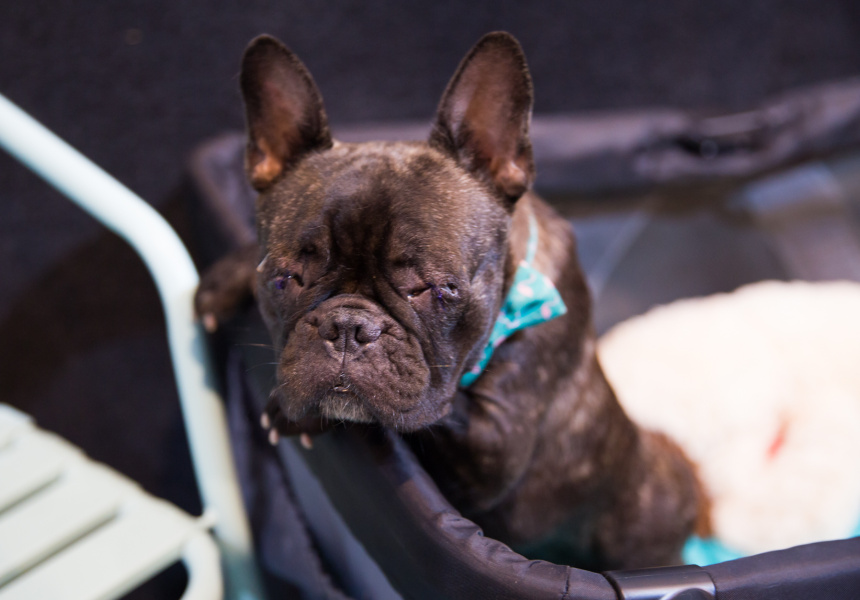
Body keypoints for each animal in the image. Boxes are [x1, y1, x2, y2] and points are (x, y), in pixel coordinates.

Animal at [195, 31, 708, 570]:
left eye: (432, 288)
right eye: (285, 278)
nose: (347, 326)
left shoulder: (494, 448)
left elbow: (441, 409)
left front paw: (296, 412)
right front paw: (229, 276)